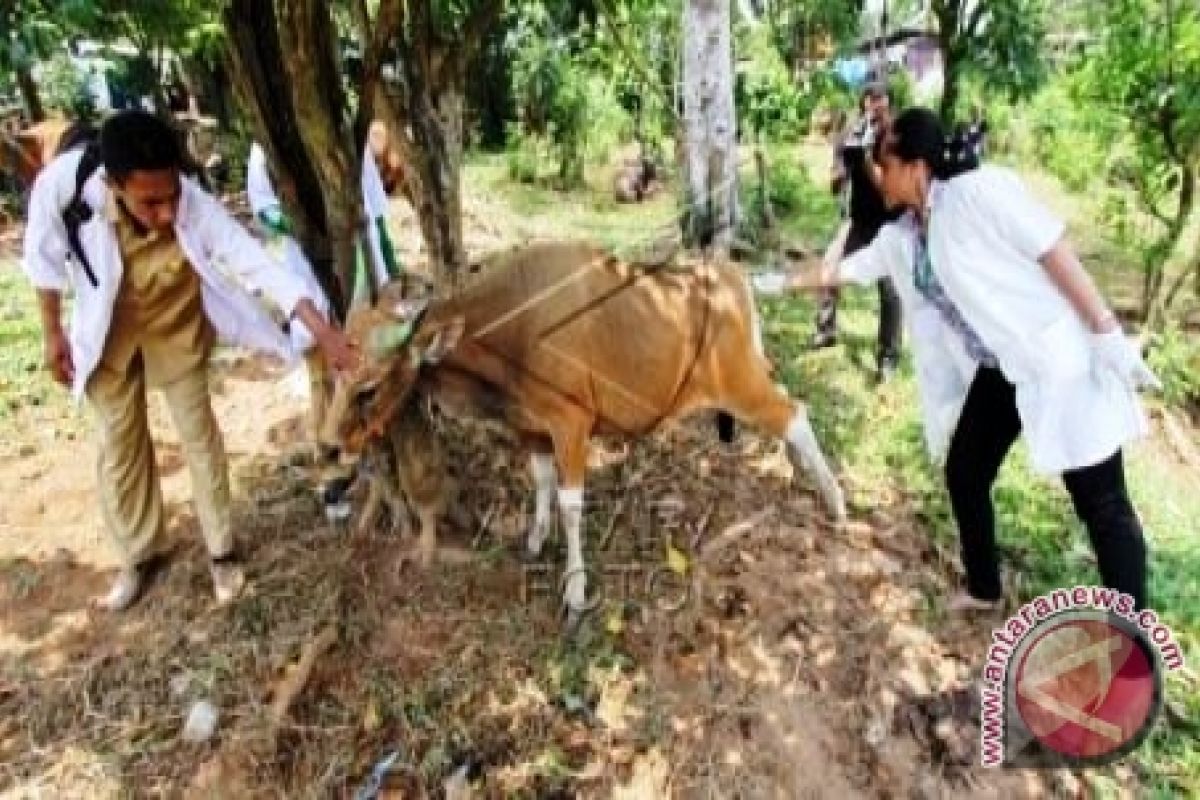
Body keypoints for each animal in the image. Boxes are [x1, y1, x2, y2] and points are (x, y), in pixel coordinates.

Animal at [316, 239, 844, 623]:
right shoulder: (530, 429)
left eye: (368, 387)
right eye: (335, 374)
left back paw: (835, 502)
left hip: (741, 385)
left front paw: (575, 588)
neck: (516, 326)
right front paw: (535, 537)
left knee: (795, 414)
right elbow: (542, 482)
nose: (327, 446)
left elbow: (571, 505)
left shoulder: (571, 426)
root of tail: (732, 274)